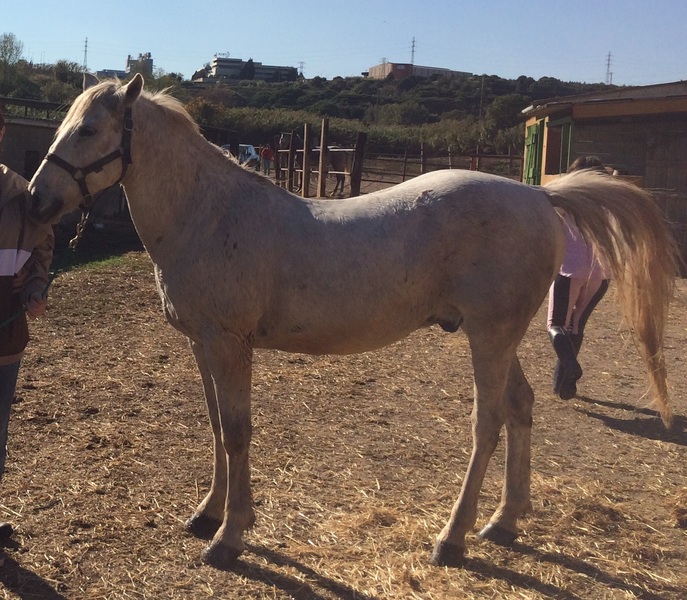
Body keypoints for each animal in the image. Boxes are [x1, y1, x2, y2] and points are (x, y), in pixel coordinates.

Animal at [28, 74, 679, 570]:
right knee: (520, 409)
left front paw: (230, 537)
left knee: (488, 423)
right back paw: (502, 523)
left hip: (490, 338)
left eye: (89, 130)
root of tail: (540, 196)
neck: (210, 215)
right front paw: (207, 514)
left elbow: (236, 432)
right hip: (500, 336)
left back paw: (451, 539)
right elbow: (215, 427)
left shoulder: (230, 345)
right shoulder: (201, 346)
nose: (35, 200)